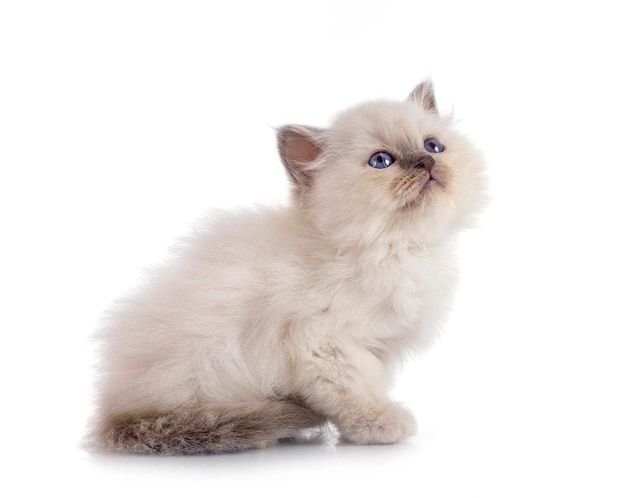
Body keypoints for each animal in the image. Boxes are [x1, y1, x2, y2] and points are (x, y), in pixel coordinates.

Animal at [89, 81, 488, 456]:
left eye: (433, 145)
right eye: (381, 161)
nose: (425, 162)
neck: (396, 249)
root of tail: (112, 413)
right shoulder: (324, 343)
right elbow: (355, 392)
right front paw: (380, 425)